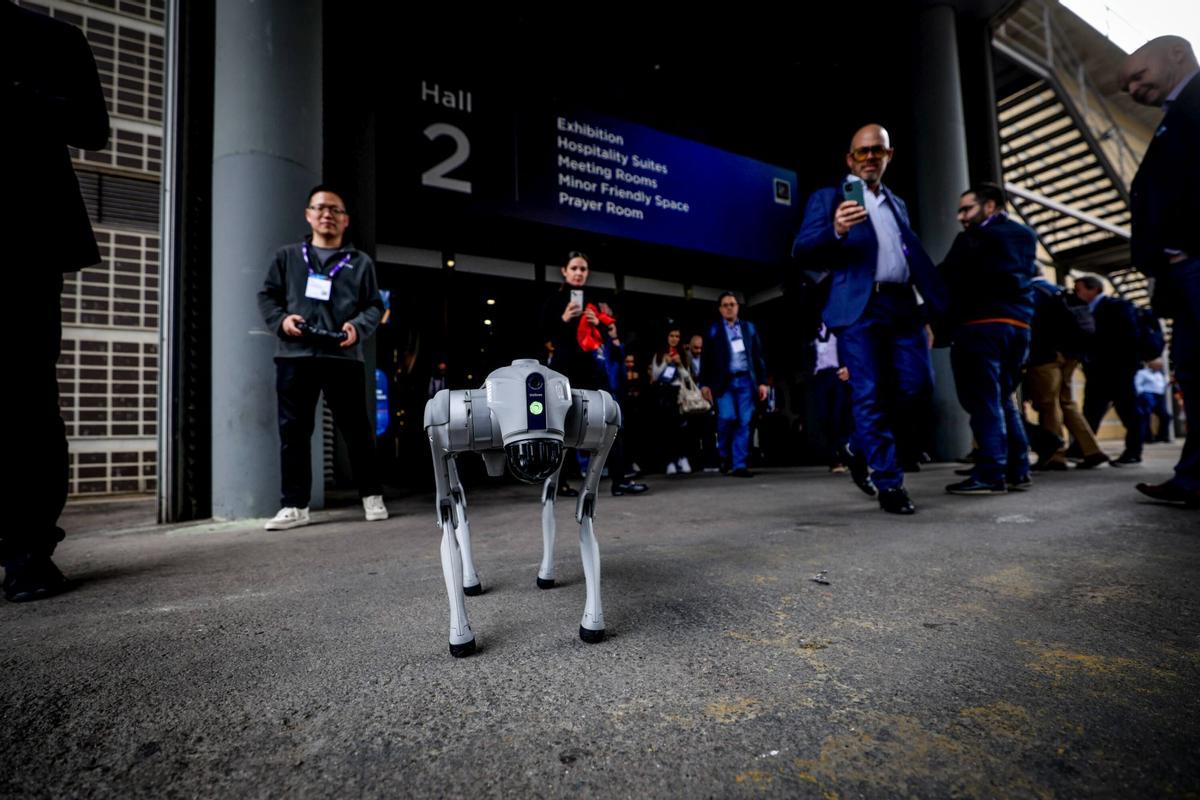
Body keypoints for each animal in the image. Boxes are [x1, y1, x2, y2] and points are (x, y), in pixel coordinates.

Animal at [424, 362, 619, 657]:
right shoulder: (442, 425)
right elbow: (446, 514)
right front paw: (460, 636)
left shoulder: (599, 418)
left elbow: (585, 509)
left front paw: (593, 622)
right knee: (457, 500)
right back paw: (470, 581)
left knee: (549, 495)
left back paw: (546, 574)